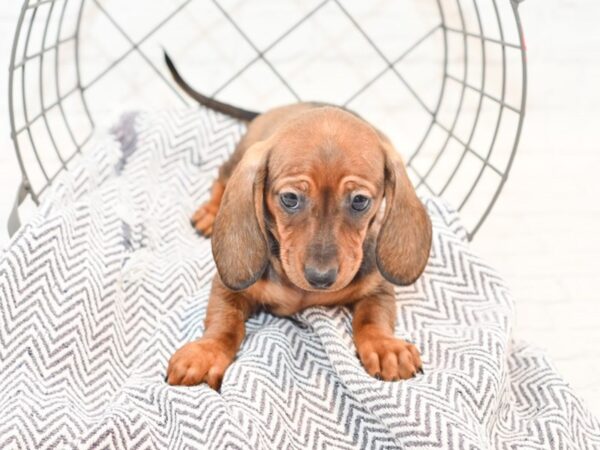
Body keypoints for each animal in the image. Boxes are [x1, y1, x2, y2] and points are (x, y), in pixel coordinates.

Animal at [164, 53, 432, 390]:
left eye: (360, 201)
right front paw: (206, 351)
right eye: (290, 198)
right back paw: (211, 213)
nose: (321, 278)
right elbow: (224, 322)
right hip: (239, 156)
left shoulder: (377, 287)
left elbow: (374, 317)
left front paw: (386, 347)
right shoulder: (227, 288)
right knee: (221, 179)